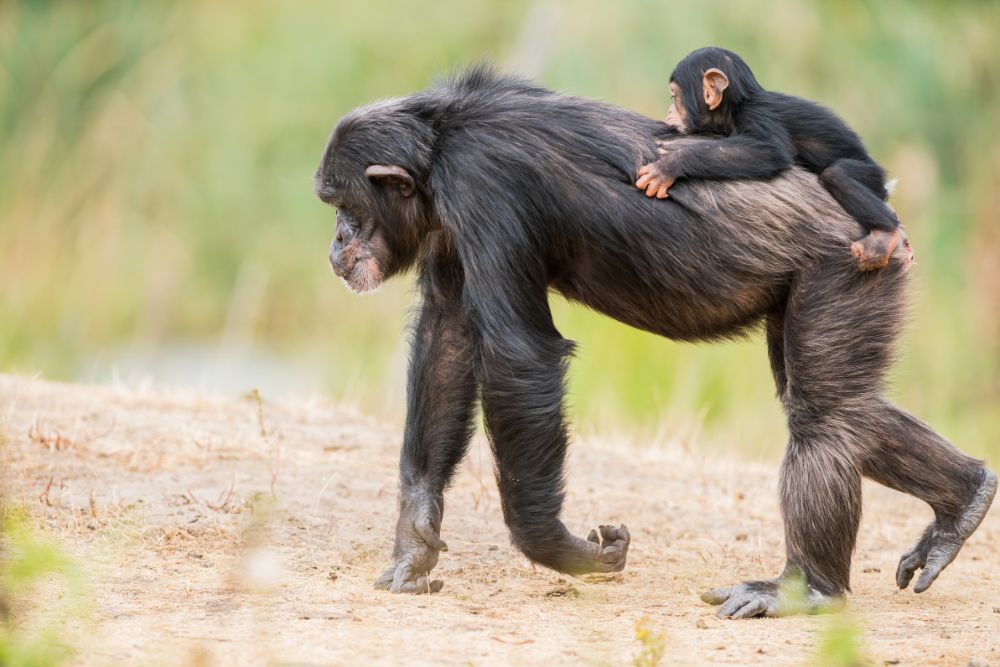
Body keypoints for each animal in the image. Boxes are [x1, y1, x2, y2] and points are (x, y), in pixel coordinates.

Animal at [635, 47, 907, 272]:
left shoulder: (758, 115)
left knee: (838, 174)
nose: (669, 110)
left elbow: (770, 151)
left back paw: (885, 234)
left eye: (674, 97)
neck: (737, 105)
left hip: (870, 175)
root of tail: (885, 185)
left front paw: (669, 165)